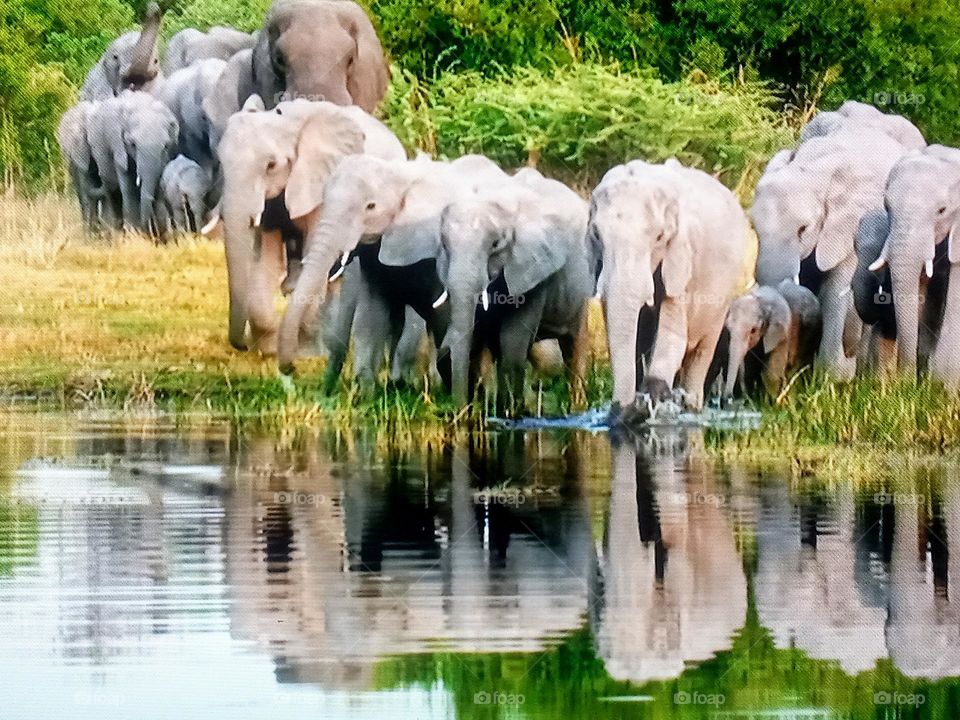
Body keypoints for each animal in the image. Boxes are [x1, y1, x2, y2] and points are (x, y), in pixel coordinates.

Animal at [86, 91, 179, 233]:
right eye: (132, 144)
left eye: (166, 146)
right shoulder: (118, 145)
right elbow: (129, 190)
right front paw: (137, 233)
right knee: (113, 193)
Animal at [216, 97, 405, 353]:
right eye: (220, 162)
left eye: (271, 165)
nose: (242, 347)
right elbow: (265, 257)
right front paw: (268, 349)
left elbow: (313, 253)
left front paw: (305, 350)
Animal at [431, 167, 593, 412]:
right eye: (445, 245)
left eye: (495, 245)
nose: (459, 412)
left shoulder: (533, 269)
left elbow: (512, 346)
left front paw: (508, 413)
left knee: (574, 346)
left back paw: (577, 407)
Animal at [590, 158, 748, 420]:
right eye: (595, 234)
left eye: (660, 237)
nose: (621, 409)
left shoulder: (683, 259)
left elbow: (673, 336)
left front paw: (652, 402)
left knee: (701, 355)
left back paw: (691, 410)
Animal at [751, 126, 911, 379]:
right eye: (753, 225)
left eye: (803, 229)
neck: (813, 169)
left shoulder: (848, 228)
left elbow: (835, 289)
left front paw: (831, 376)